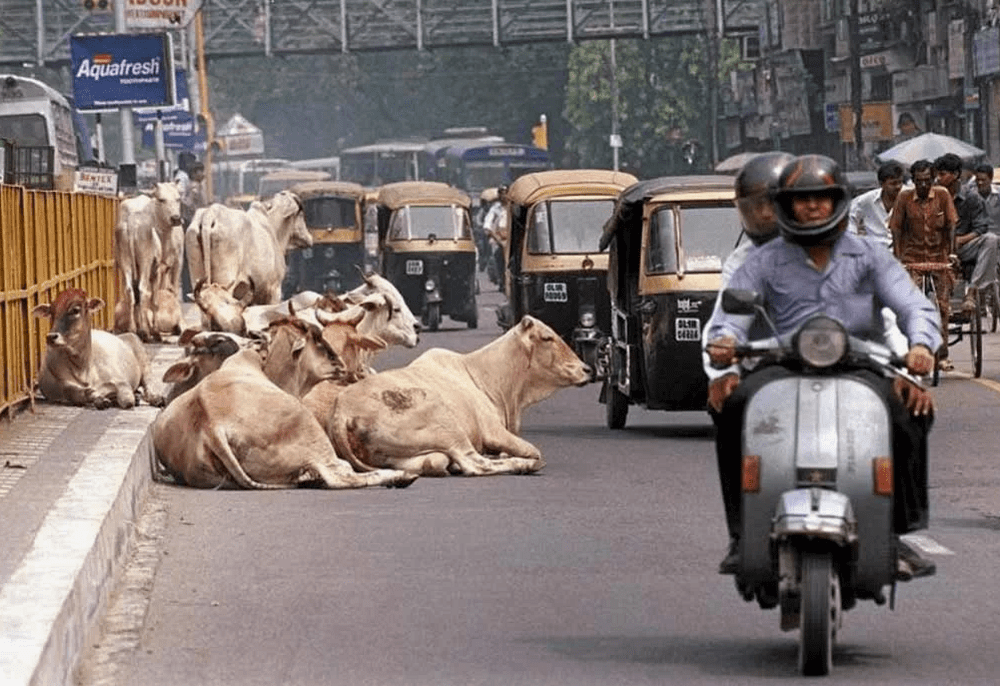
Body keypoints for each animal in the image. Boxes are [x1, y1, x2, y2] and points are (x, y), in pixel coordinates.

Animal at [32, 288, 164, 412]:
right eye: (51, 312)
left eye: (75, 310)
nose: (51, 337)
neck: (83, 367)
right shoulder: (65, 387)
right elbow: (85, 393)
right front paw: (103, 400)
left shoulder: (121, 382)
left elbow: (127, 400)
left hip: (143, 361)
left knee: (148, 386)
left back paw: (156, 398)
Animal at [113, 183, 186, 344]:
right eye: (161, 199)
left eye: (178, 198)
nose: (176, 218)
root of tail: (132, 222)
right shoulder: (163, 267)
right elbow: (156, 299)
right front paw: (155, 330)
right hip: (145, 261)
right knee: (143, 291)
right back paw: (146, 332)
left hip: (125, 260)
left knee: (130, 291)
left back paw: (133, 329)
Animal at [324, 318, 592, 478]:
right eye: (547, 337)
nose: (587, 369)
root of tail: (342, 413)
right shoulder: (493, 430)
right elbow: (532, 450)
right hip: (447, 426)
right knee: (474, 463)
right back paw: (523, 466)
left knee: (434, 462)